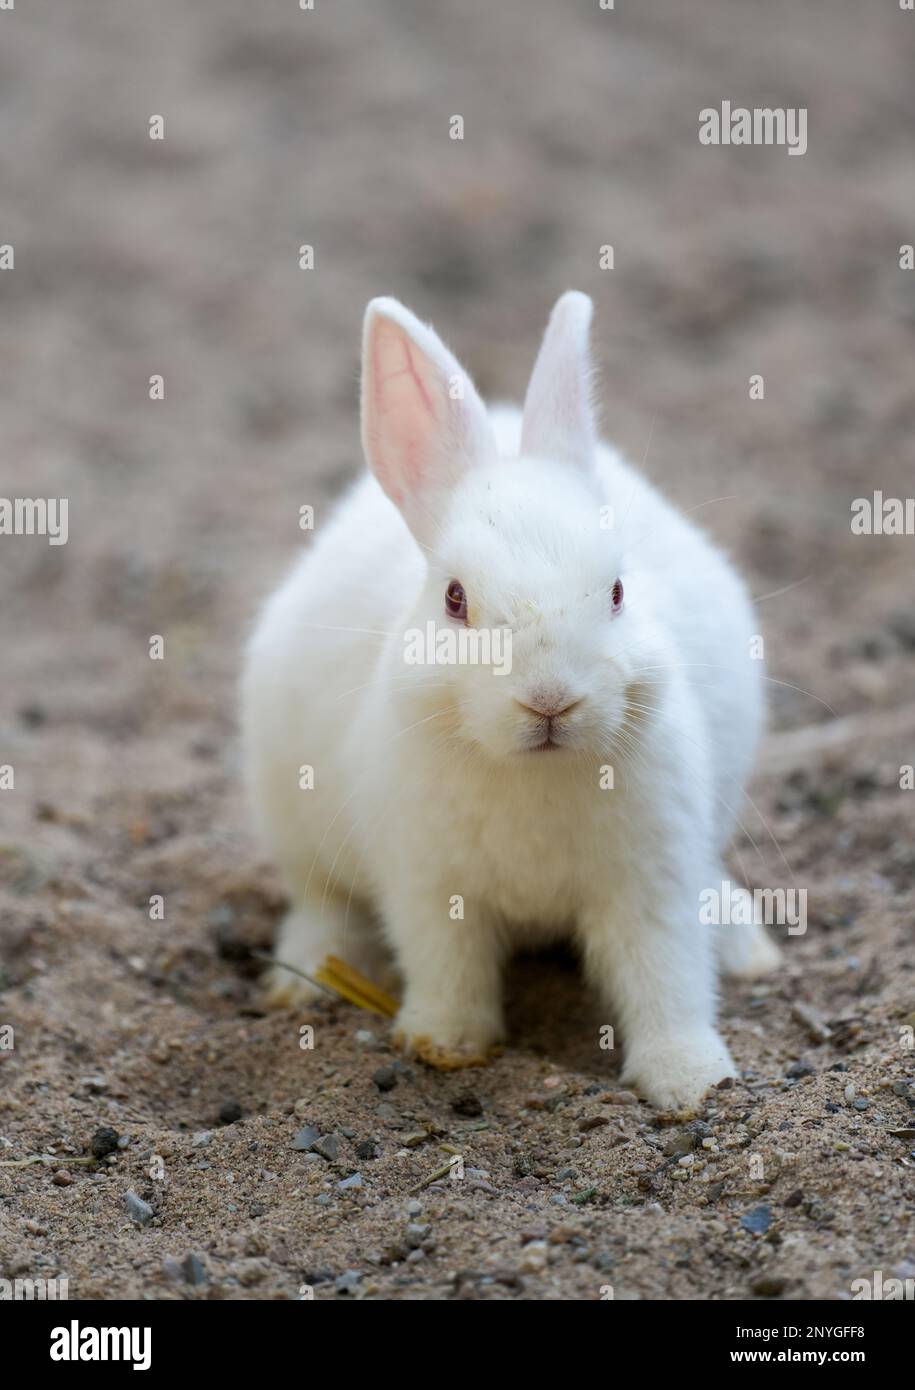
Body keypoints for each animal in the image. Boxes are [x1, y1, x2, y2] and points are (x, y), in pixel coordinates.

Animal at [240, 291, 781, 1109]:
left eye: (617, 590)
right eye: (454, 599)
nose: (549, 700)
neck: (534, 771)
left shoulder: (651, 880)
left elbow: (666, 978)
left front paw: (691, 1081)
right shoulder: (429, 885)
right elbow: (448, 964)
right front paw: (444, 1043)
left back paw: (750, 949)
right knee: (320, 902)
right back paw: (302, 980)